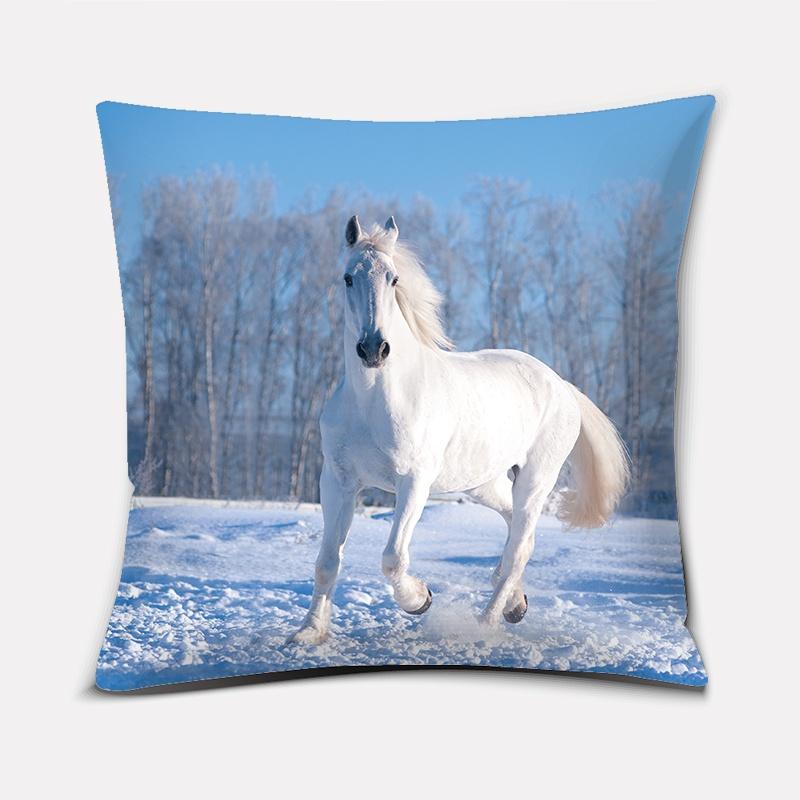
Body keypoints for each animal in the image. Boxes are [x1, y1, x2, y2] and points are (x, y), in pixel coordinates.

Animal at [289, 215, 629, 644]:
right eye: (348, 278)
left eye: (394, 279)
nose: (373, 349)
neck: (372, 400)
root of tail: (562, 386)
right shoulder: (338, 482)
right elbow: (327, 561)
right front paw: (308, 633)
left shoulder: (414, 481)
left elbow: (392, 558)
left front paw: (420, 600)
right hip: (483, 483)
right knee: (515, 528)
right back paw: (516, 605)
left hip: (536, 479)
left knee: (519, 547)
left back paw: (486, 624)